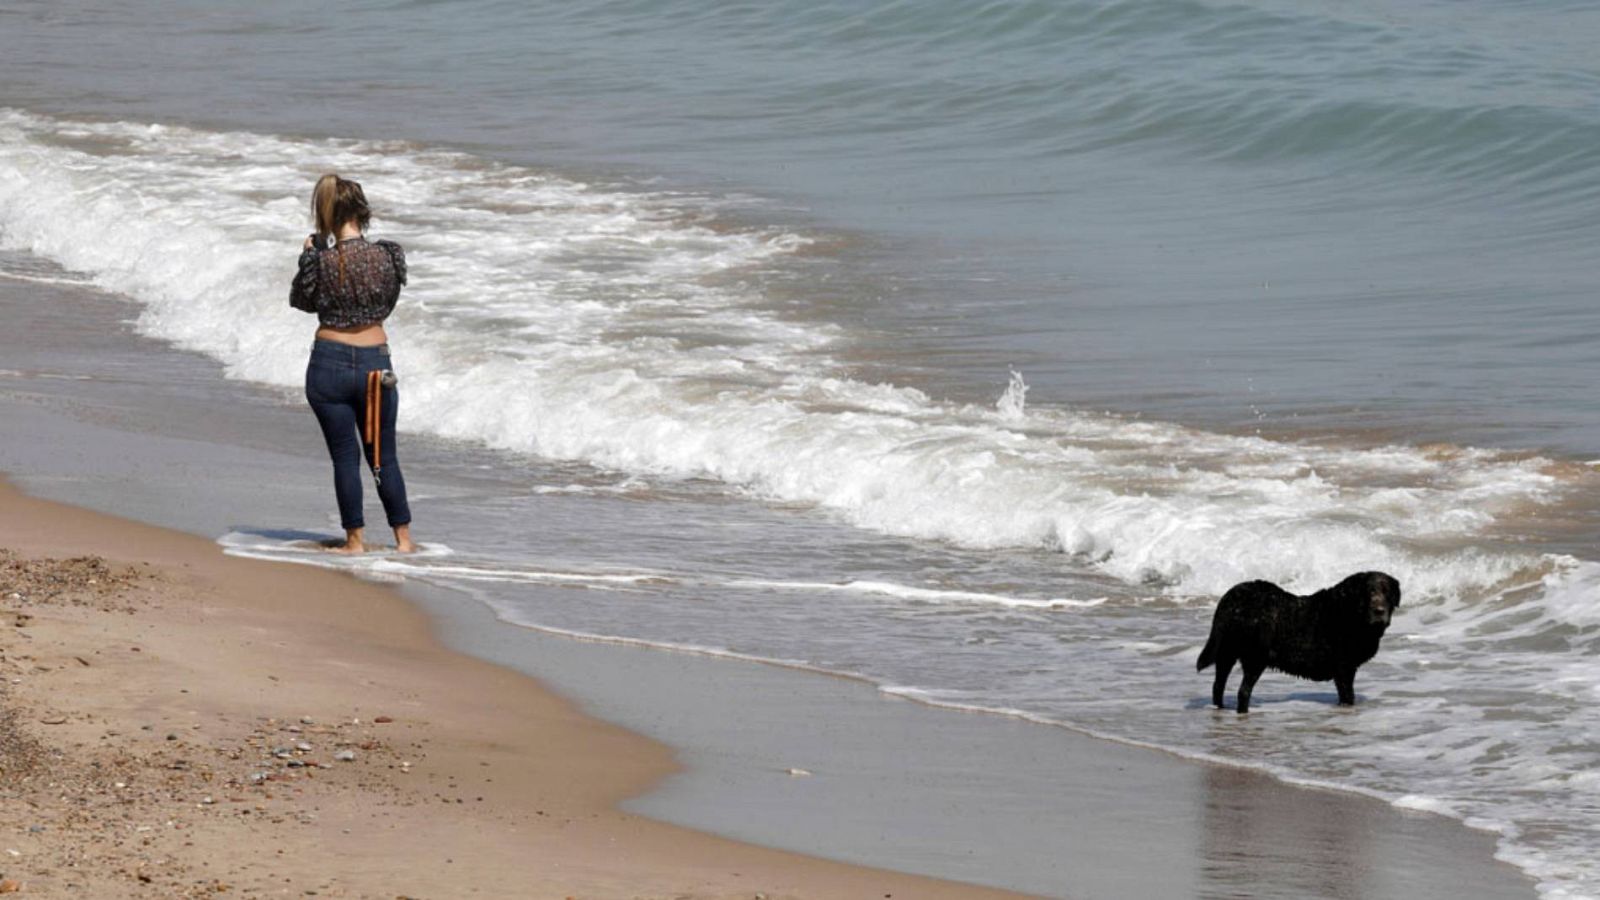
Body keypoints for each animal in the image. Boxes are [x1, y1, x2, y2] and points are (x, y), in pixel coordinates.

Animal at [1203, 570, 1401, 711]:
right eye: (1369, 592)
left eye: (1387, 592)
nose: (1379, 611)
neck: (1350, 612)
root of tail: (1234, 597)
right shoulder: (1344, 669)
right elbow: (1347, 696)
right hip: (1256, 657)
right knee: (1243, 692)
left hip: (1226, 653)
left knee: (1218, 686)